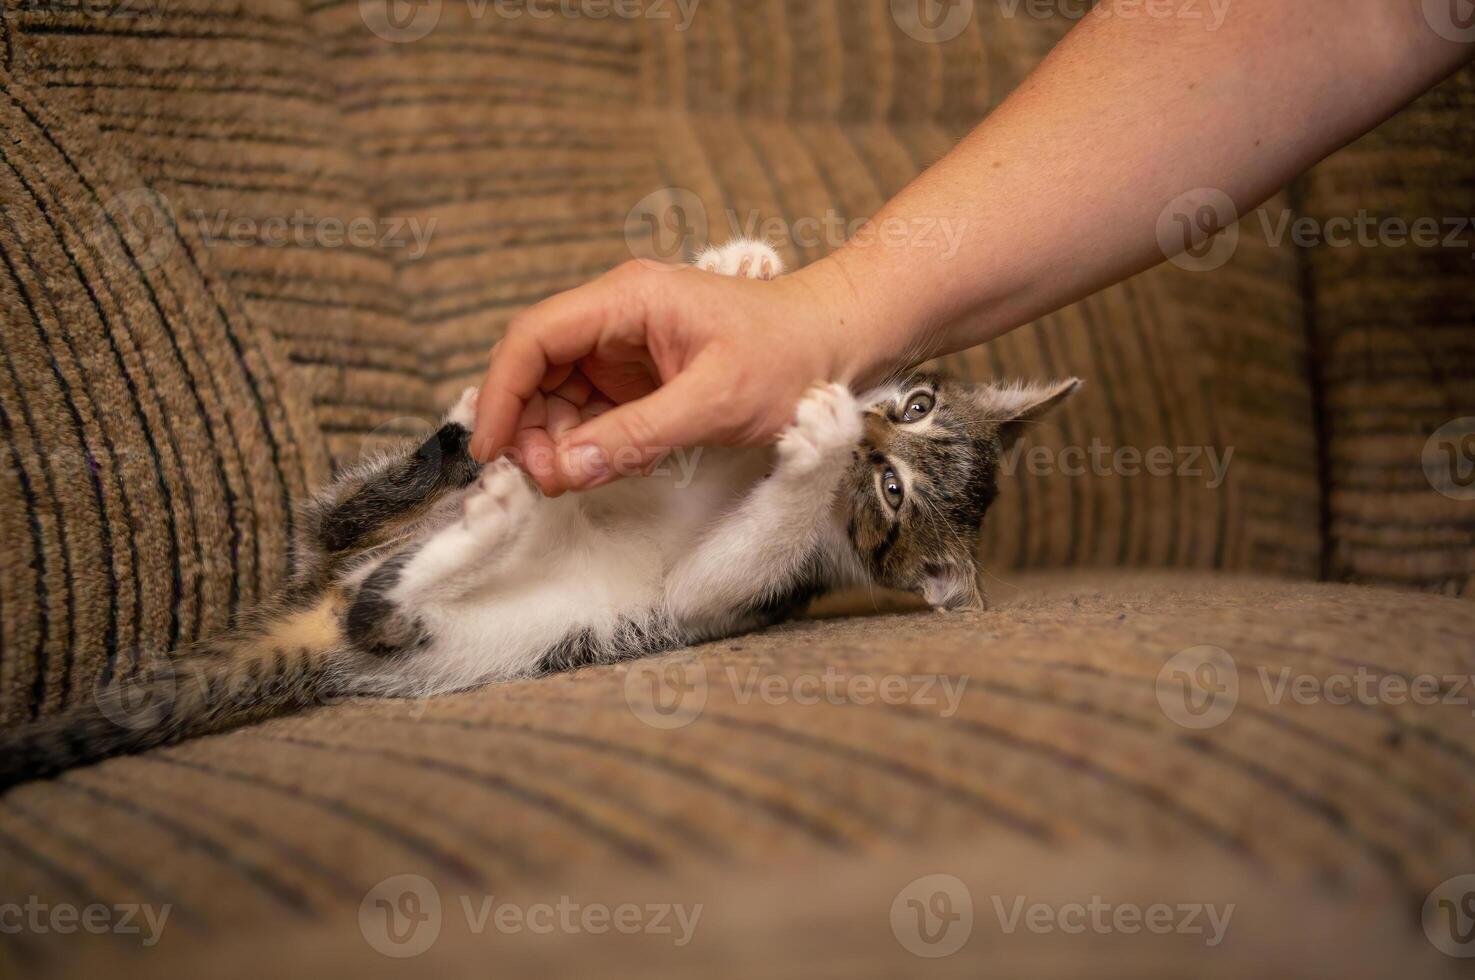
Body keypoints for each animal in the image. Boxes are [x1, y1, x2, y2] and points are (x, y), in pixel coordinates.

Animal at [0, 240, 1085, 791]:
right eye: (917, 405)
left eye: (891, 493)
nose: (864, 425)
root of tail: (317, 604)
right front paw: (734, 271)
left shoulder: (738, 590)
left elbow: (726, 560)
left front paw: (811, 450)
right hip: (360, 531)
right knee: (354, 514)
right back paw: (469, 438)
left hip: (472, 642)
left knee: (381, 610)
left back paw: (497, 519)